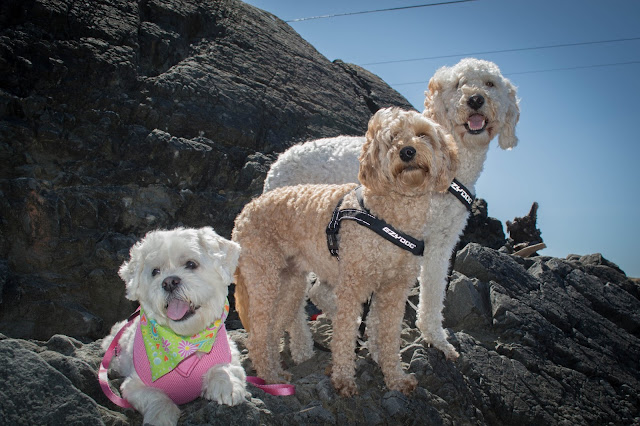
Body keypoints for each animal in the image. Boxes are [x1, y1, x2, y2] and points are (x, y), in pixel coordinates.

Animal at [101, 227, 247, 426]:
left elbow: (225, 368)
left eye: (191, 264)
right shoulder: (133, 386)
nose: (169, 282)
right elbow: (156, 396)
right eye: (155, 271)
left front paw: (227, 385)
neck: (185, 343)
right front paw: (160, 415)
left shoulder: (231, 355)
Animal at [232, 107, 458, 396]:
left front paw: (395, 378)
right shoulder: (352, 286)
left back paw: (275, 373)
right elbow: (344, 335)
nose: (407, 151)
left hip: (290, 283)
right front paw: (342, 379)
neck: (391, 214)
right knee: (258, 336)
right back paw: (271, 378)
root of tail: (245, 211)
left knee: (272, 331)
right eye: (392, 137)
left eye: (423, 134)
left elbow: (388, 337)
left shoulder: (394, 290)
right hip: (264, 278)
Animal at [262, 58, 519, 361]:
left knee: (316, 293)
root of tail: (278, 163)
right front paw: (379, 344)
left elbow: (433, 292)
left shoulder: (440, 244)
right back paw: (303, 345)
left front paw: (434, 338)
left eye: (490, 84)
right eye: (459, 84)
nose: (476, 99)